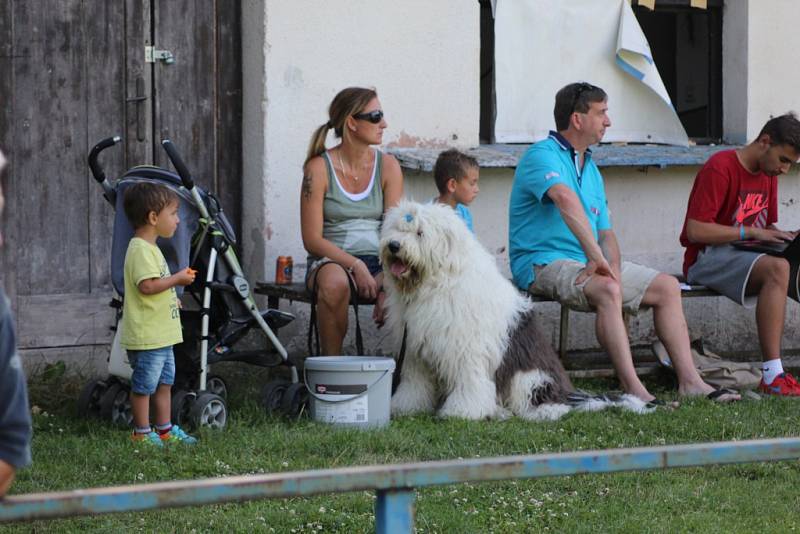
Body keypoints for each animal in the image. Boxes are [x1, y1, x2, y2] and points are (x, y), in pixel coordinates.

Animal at [378, 201, 648, 422]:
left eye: (420, 233)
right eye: (397, 229)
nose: (394, 246)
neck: (436, 283)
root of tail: (568, 392)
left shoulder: (467, 348)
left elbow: (470, 381)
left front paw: (462, 411)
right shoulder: (416, 349)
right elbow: (414, 383)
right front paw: (404, 406)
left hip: (529, 376)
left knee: (547, 401)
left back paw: (540, 412)